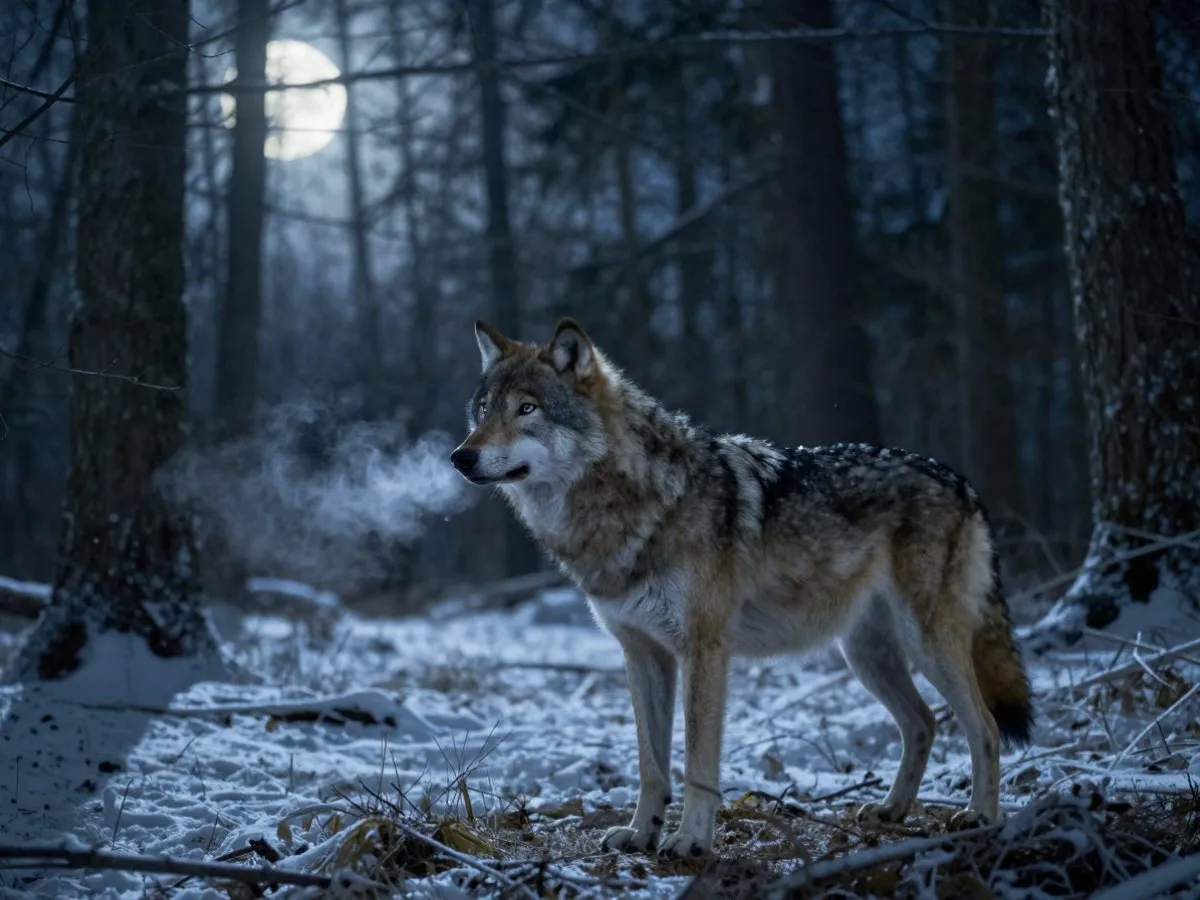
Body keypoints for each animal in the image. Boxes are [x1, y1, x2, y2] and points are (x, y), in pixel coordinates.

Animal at [450, 318, 1034, 858]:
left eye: (527, 409)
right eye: (483, 411)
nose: (460, 456)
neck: (633, 504)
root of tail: (959, 479)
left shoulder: (703, 650)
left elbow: (695, 760)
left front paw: (690, 840)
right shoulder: (642, 655)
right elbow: (650, 764)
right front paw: (641, 833)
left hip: (926, 644)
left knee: (983, 726)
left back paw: (980, 816)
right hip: (866, 656)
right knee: (923, 724)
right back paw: (891, 810)